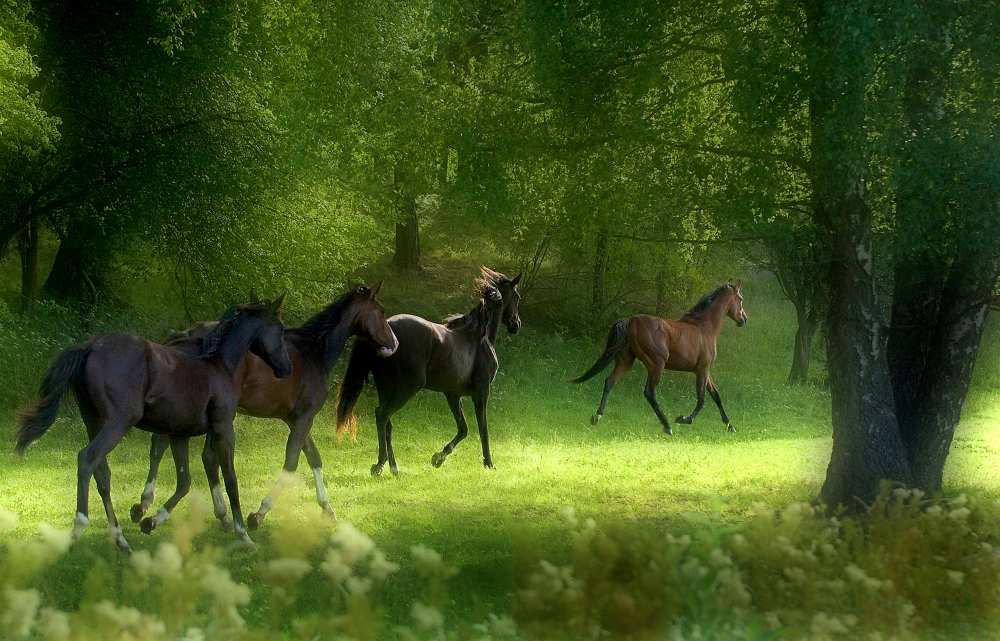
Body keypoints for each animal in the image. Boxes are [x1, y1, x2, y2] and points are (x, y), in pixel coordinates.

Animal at [15, 296, 293, 551]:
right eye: (280, 329)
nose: (287, 368)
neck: (219, 366)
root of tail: (91, 346)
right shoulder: (224, 429)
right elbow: (230, 478)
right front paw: (243, 534)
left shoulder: (179, 435)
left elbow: (185, 481)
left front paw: (150, 520)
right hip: (118, 422)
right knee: (87, 458)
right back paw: (79, 528)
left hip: (93, 422)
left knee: (102, 472)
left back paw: (121, 541)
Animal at [130, 284, 399, 533]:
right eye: (380, 311)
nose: (394, 343)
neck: (313, 353)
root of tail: (185, 335)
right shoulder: (304, 419)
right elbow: (291, 463)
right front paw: (259, 514)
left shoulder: (296, 420)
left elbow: (314, 458)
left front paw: (327, 508)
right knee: (198, 455)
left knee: (163, 445)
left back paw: (147, 506)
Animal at [336, 267, 522, 475]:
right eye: (517, 297)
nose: (516, 324)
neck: (478, 336)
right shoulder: (481, 393)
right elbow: (483, 429)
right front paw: (488, 463)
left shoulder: (453, 395)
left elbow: (463, 429)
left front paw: (438, 458)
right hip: (408, 387)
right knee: (382, 415)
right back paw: (380, 464)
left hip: (385, 386)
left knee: (386, 422)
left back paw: (393, 467)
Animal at [571, 281, 747, 434]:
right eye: (740, 299)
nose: (744, 319)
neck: (704, 327)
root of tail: (630, 321)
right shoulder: (702, 370)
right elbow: (702, 399)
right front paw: (684, 419)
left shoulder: (704, 370)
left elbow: (716, 396)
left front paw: (730, 426)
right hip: (656, 365)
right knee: (649, 392)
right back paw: (667, 426)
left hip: (626, 362)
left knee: (610, 382)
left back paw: (597, 417)